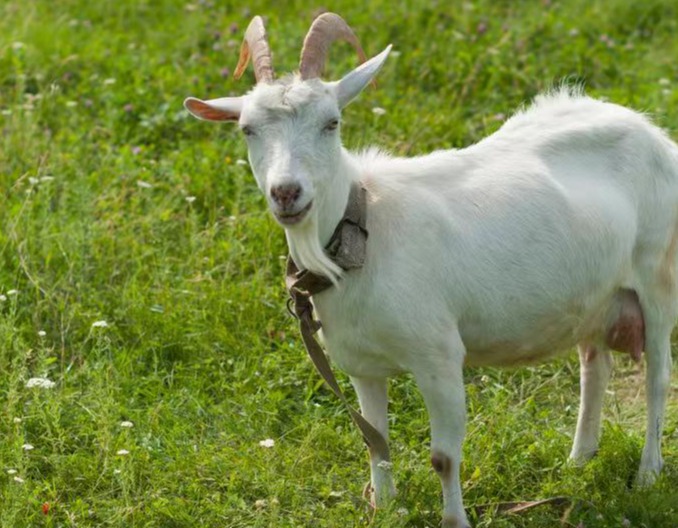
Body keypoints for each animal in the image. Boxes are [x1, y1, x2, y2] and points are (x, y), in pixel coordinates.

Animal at [183, 14, 676, 528]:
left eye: (331, 122)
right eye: (247, 129)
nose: (286, 192)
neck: (366, 231)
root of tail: (650, 132)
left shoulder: (438, 356)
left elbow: (443, 457)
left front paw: (454, 520)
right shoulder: (362, 366)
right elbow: (375, 442)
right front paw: (384, 507)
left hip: (658, 275)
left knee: (659, 376)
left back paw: (647, 473)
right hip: (593, 296)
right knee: (594, 365)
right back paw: (578, 460)